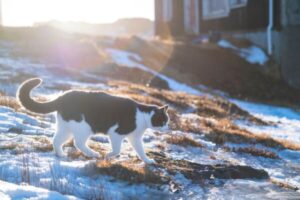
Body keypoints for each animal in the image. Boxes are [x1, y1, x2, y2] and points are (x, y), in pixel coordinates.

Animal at [17, 78, 170, 164]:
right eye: (164, 120)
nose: (167, 127)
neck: (143, 117)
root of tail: (61, 97)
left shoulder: (135, 138)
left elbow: (141, 151)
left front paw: (148, 161)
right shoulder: (116, 133)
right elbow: (117, 150)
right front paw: (108, 155)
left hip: (66, 127)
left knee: (56, 140)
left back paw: (60, 154)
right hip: (83, 127)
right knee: (78, 143)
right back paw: (93, 154)